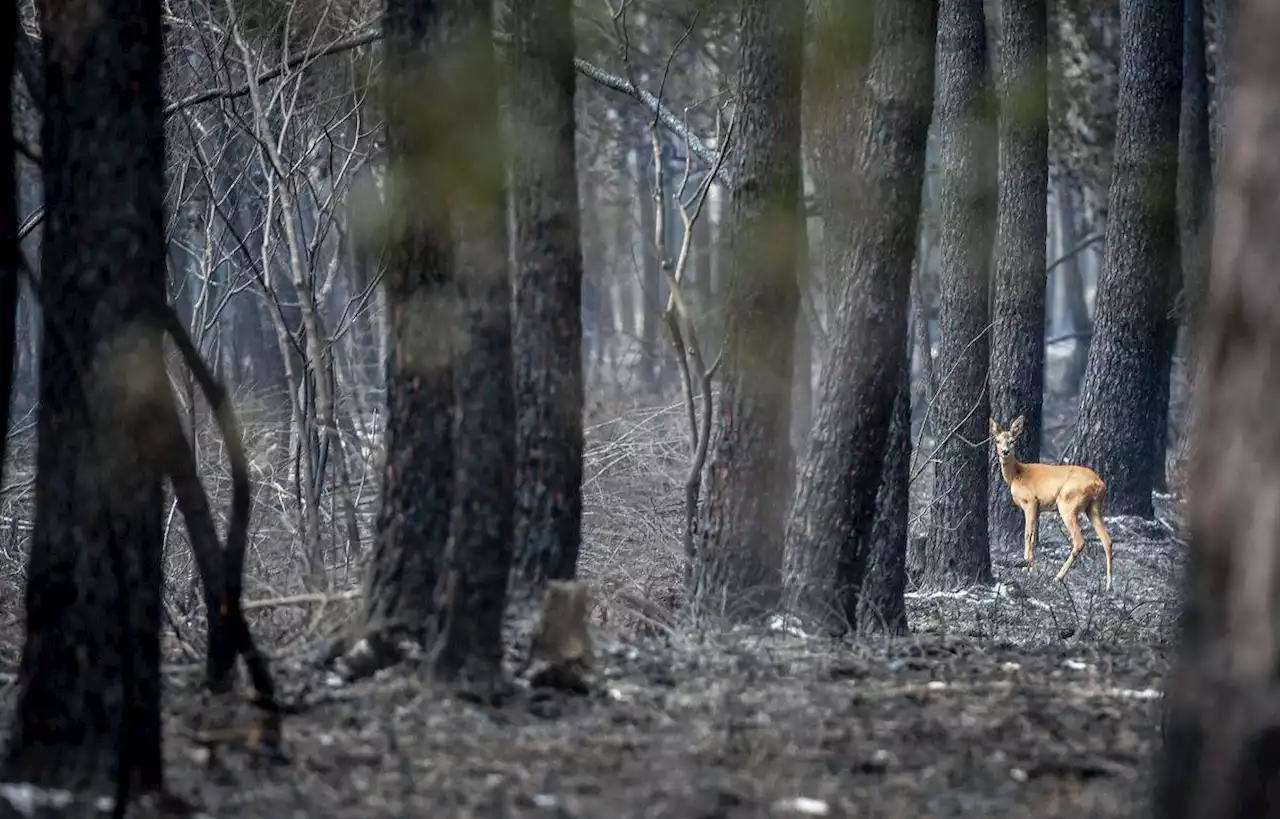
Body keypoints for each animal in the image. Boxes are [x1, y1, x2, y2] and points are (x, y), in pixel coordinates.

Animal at [988, 414, 1111, 588]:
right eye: (998, 440)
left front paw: (1027, 566)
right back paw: (1109, 586)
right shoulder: (1038, 507)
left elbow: (1028, 535)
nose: (1005, 452)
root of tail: (1099, 484)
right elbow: (1033, 537)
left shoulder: (1030, 501)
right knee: (1107, 541)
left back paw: (1058, 577)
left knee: (1079, 541)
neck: (1016, 475)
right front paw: (1031, 567)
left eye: (1012, 441)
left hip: (1068, 503)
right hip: (1094, 507)